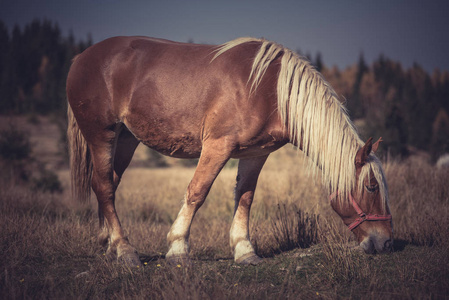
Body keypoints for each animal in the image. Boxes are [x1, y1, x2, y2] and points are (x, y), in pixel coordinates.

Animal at [66, 35, 392, 268]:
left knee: (109, 184)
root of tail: (81, 57)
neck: (268, 89)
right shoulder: (217, 145)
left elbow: (245, 198)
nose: (386, 243)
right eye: (371, 187)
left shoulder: (255, 154)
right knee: (103, 186)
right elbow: (197, 192)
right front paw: (178, 248)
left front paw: (244, 251)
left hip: (126, 140)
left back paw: (109, 245)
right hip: (102, 135)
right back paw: (124, 250)